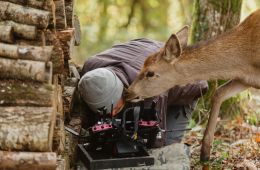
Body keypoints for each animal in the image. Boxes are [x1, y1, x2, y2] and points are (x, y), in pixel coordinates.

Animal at [126, 8, 260, 161]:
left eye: (150, 73)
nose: (128, 91)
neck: (246, 60)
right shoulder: (246, 79)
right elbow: (219, 92)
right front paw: (205, 153)